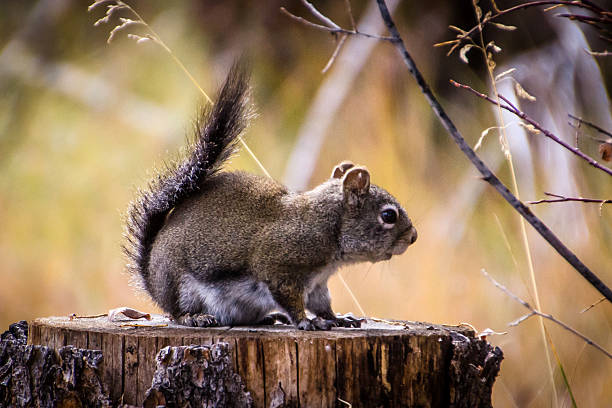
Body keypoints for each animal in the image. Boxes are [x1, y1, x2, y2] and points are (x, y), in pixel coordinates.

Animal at [126, 64, 418, 332]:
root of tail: (151, 279)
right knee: (177, 313)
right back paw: (196, 317)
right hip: (179, 285)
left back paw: (268, 317)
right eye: (388, 215)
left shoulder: (318, 284)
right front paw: (305, 322)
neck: (326, 227)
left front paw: (337, 319)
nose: (413, 237)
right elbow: (290, 299)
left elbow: (322, 304)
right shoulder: (279, 267)